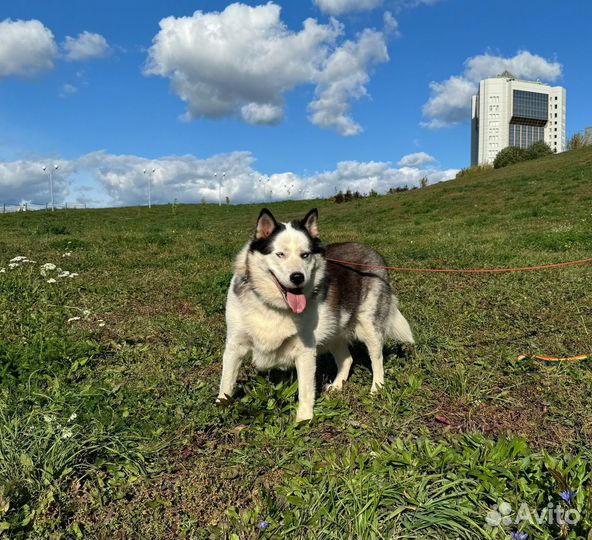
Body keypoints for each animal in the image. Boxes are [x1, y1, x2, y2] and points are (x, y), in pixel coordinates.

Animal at [215, 207, 414, 422]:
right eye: (280, 254)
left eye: (305, 255)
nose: (297, 277)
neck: (273, 306)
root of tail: (372, 251)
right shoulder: (234, 346)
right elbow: (226, 381)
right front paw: (221, 408)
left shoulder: (305, 351)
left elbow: (305, 389)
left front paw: (303, 419)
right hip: (334, 330)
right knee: (347, 359)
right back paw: (337, 386)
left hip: (370, 328)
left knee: (377, 360)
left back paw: (376, 389)